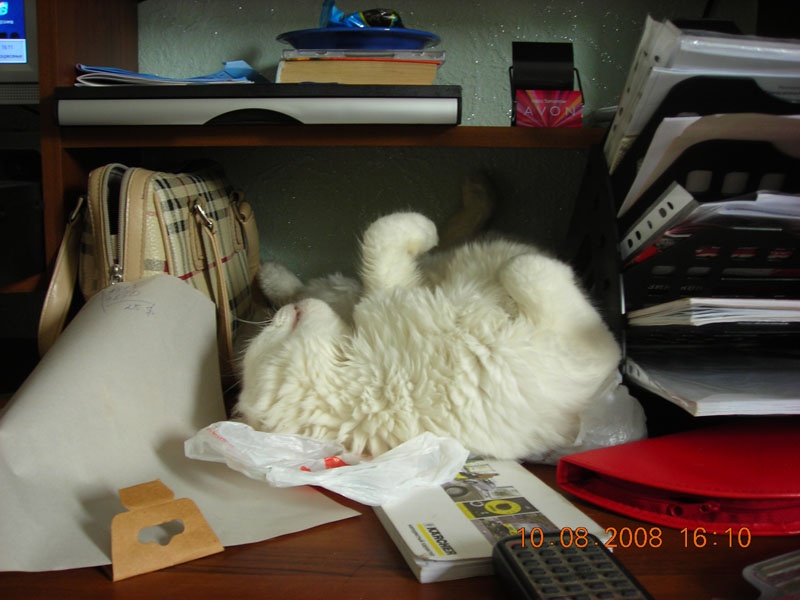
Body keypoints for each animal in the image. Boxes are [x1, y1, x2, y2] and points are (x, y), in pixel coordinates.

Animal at [235, 210, 622, 461]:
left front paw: (424, 231)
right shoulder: (581, 351)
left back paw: (273, 276)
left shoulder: (391, 293)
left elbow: (379, 237)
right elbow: (526, 271)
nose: (275, 317)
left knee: (319, 284)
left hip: (342, 289)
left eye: (266, 334)